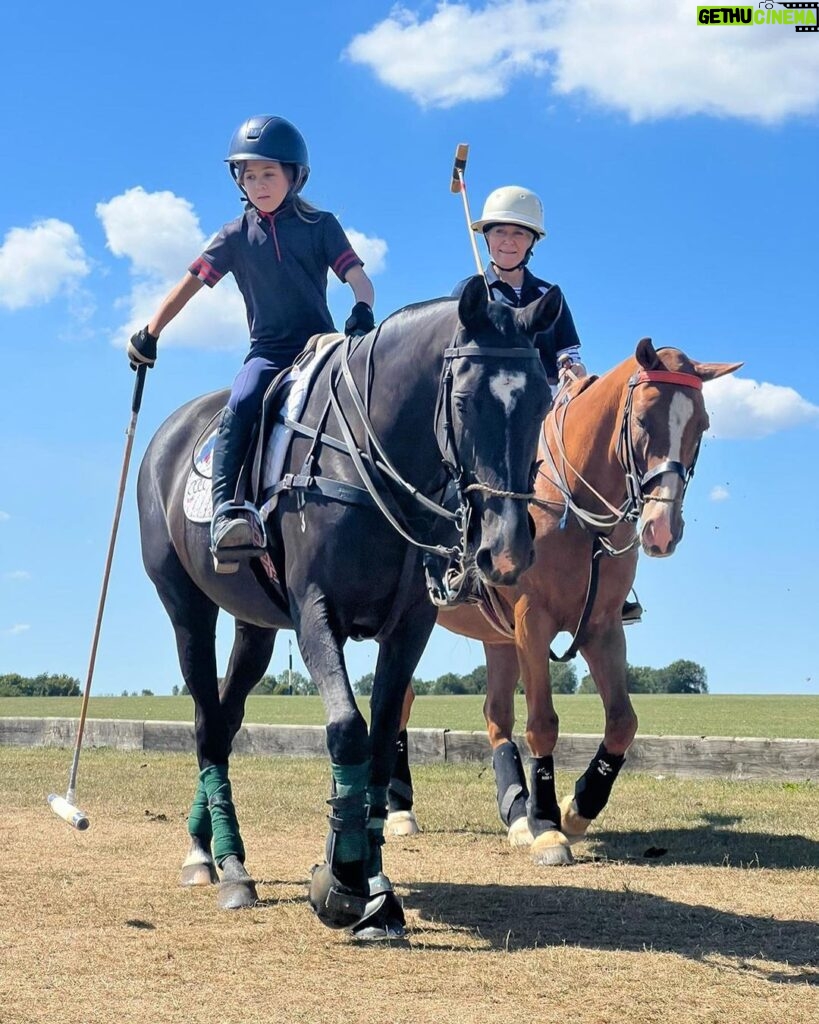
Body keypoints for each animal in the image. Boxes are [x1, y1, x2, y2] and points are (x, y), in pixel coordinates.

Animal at [137, 278, 552, 937]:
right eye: (464, 403)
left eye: (542, 401)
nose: (506, 550)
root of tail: (169, 433)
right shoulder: (315, 609)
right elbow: (348, 732)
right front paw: (344, 878)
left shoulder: (411, 626)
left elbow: (381, 740)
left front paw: (377, 884)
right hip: (186, 607)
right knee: (204, 719)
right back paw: (225, 865)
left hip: (255, 625)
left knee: (224, 720)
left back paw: (210, 847)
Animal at [386, 337, 737, 864]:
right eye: (642, 420)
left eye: (702, 425)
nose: (661, 530)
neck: (574, 508)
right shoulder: (533, 622)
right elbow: (543, 723)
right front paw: (549, 826)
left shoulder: (602, 627)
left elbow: (622, 722)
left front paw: (576, 809)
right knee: (401, 701)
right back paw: (399, 810)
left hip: (498, 637)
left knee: (496, 716)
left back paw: (515, 812)